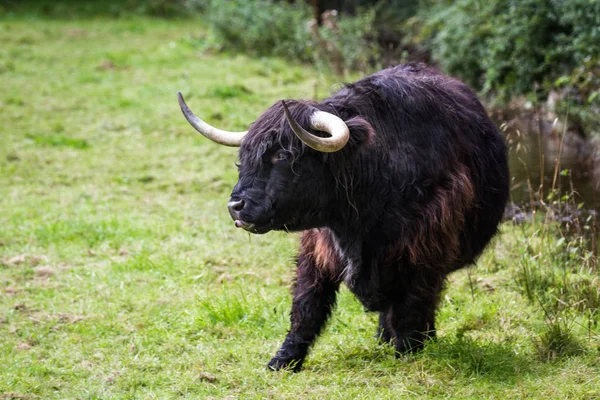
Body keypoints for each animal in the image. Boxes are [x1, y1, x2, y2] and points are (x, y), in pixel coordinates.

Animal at [179, 63, 510, 372]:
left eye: (282, 155)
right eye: (243, 157)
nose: (236, 205)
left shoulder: (424, 252)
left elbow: (412, 307)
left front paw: (408, 355)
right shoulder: (317, 249)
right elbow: (306, 306)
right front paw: (282, 360)